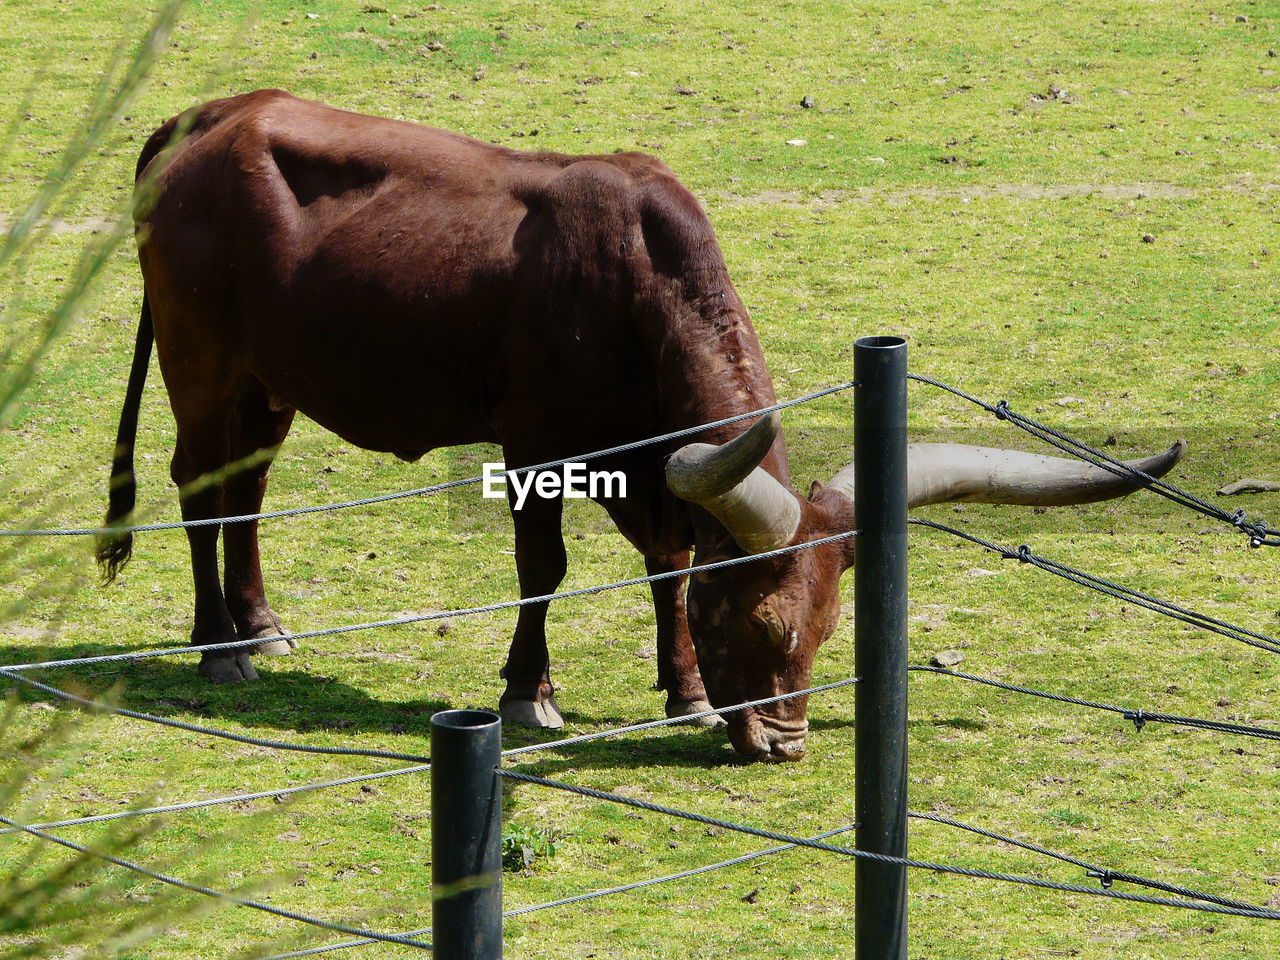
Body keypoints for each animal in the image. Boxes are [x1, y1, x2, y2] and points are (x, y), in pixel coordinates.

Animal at [94, 94, 1182, 762]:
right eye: (762, 625)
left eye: (832, 628)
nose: (782, 745)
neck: (635, 285)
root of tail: (212, 115)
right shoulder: (533, 446)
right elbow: (546, 570)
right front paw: (528, 692)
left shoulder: (655, 464)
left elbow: (670, 564)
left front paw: (684, 689)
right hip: (201, 363)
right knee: (195, 486)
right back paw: (218, 646)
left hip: (268, 381)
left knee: (244, 488)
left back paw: (263, 624)